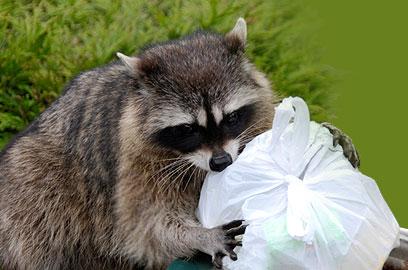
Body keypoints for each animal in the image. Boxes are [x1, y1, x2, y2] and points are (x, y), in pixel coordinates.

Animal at [0, 17, 360, 268]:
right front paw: (199, 235)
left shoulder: (255, 115)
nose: (221, 163)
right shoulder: (133, 164)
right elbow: (144, 229)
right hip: (34, 188)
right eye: (187, 129)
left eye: (231, 118)